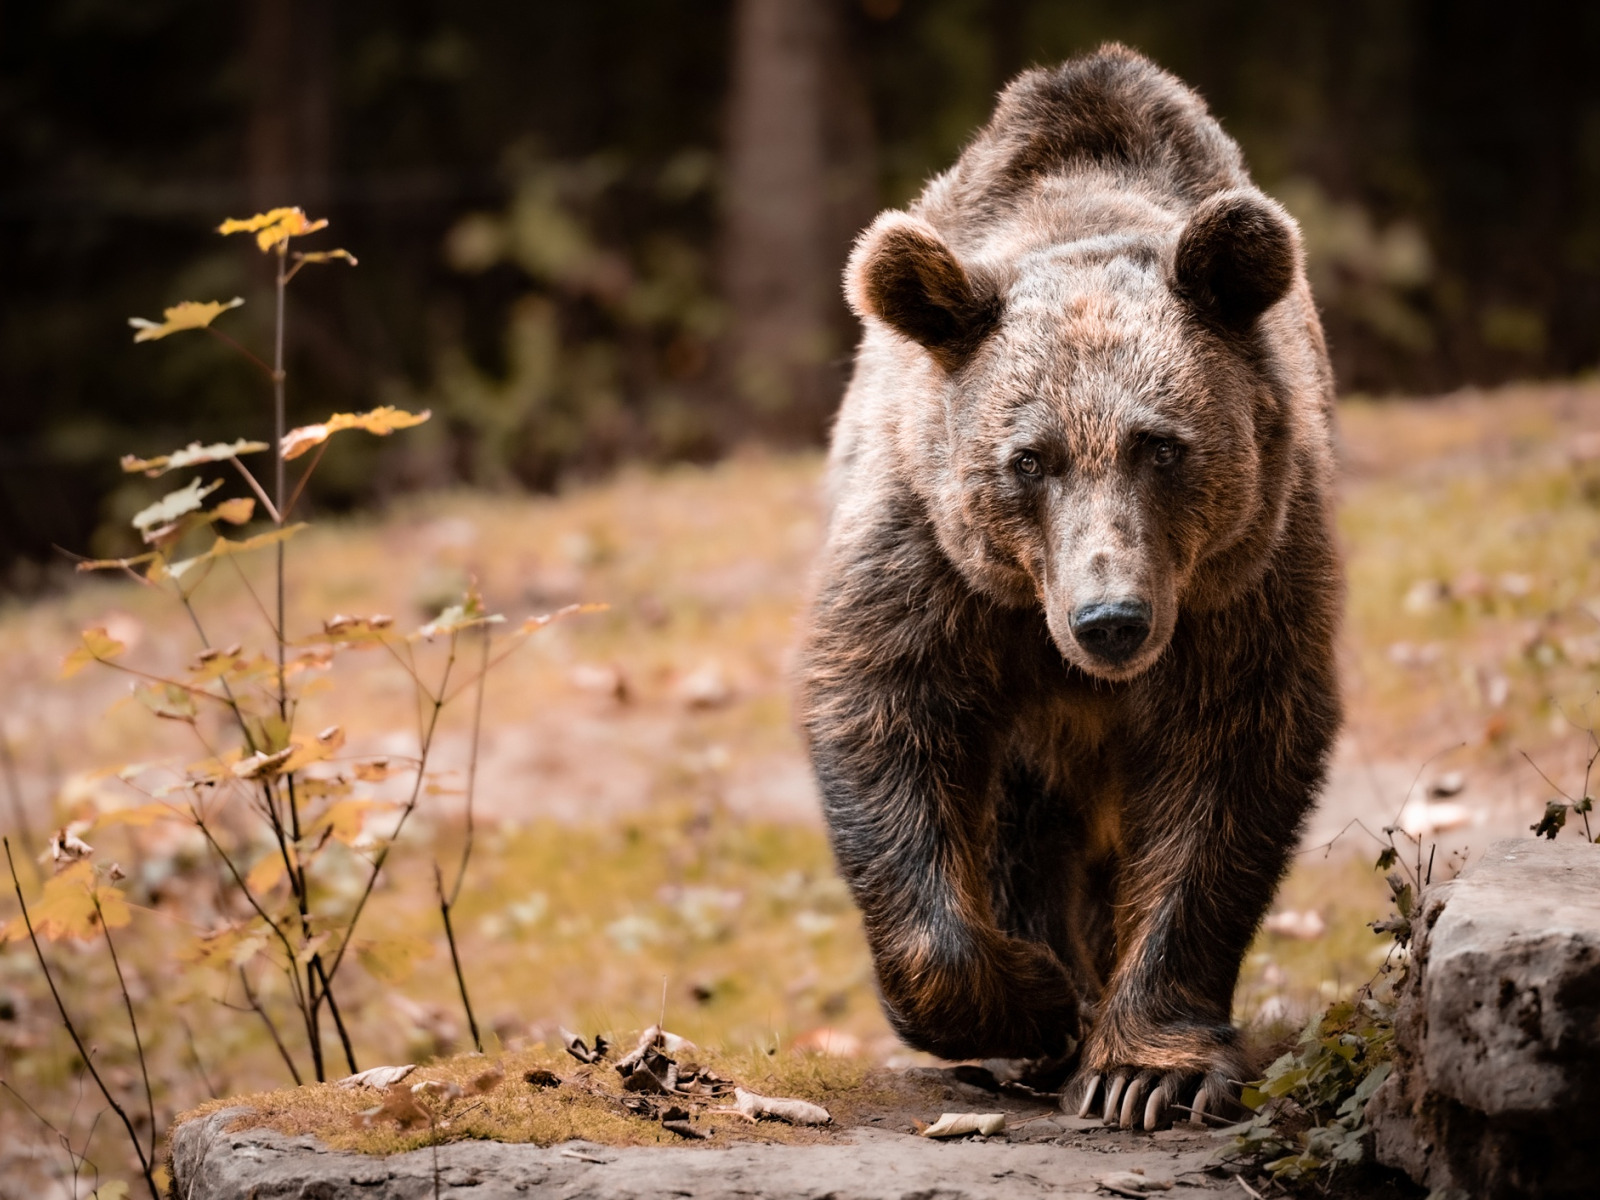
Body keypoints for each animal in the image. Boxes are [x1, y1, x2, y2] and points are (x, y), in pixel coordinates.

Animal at [796, 44, 1337, 1139]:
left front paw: (1146, 1067)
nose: (1112, 621)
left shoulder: (1243, 586)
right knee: (1013, 827)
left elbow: (1225, 781)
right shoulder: (930, 565)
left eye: (1162, 447)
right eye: (1028, 459)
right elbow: (884, 719)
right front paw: (1035, 999)